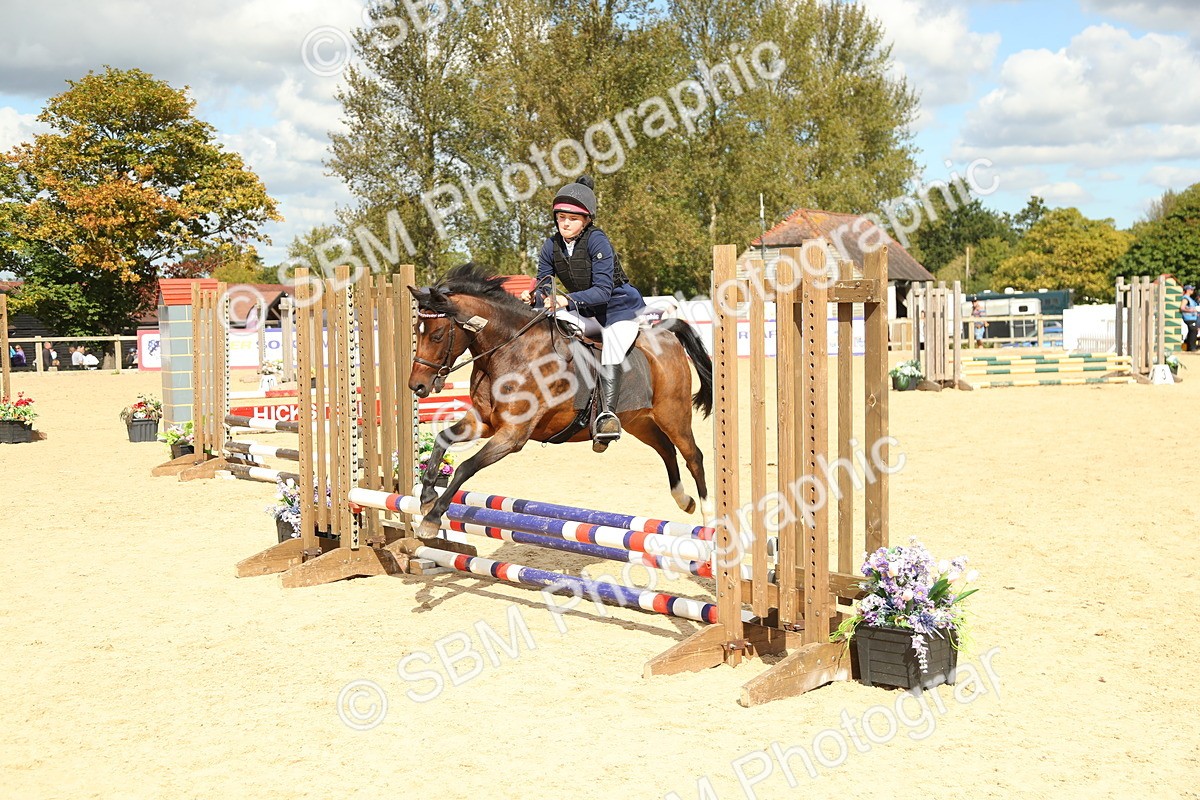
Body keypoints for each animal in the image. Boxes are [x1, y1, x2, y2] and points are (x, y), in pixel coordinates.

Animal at [407, 263, 713, 538]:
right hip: (639, 421)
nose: (416, 386)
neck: (510, 350)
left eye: (437, 335)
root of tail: (665, 333)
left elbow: (466, 467)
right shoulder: (484, 422)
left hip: (673, 414)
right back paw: (684, 501)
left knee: (693, 456)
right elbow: (443, 439)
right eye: (416, 331)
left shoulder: (512, 434)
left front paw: (432, 518)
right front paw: (427, 496)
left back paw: (708, 520)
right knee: (666, 449)